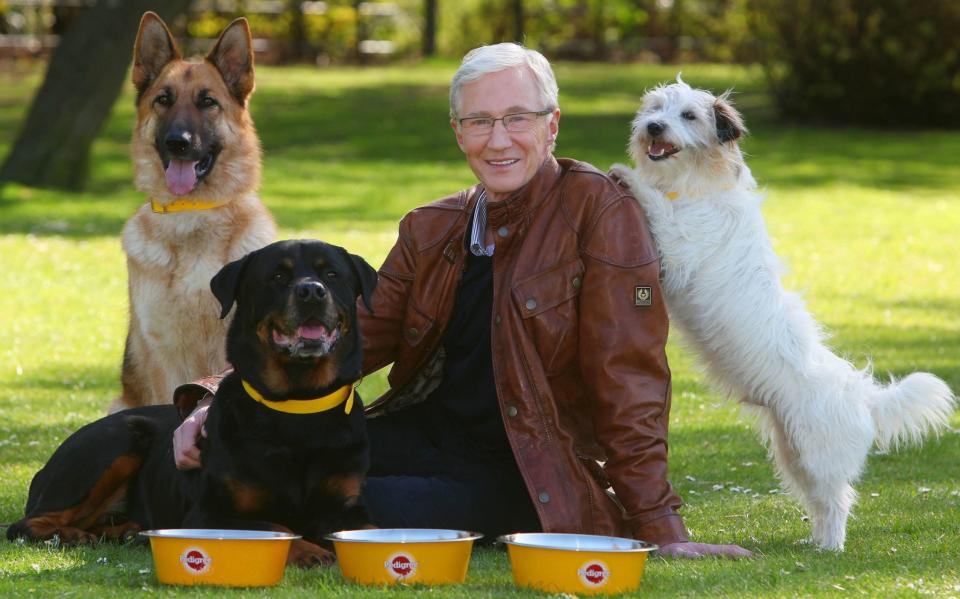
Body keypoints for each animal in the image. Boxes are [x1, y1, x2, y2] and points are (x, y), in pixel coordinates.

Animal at [11, 240, 380, 568]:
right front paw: (309, 551)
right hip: (113, 443)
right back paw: (73, 535)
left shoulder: (345, 507)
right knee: (25, 524)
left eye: (331, 274)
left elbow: (371, 529)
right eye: (277, 276)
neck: (298, 405)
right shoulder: (208, 514)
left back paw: (128, 531)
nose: (312, 291)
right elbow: (274, 526)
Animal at [612, 79, 956, 552]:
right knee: (818, 500)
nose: (653, 127)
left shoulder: (679, 250)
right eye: (656, 108)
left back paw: (831, 546)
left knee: (838, 500)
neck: (696, 185)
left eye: (689, 116)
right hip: (792, 452)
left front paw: (624, 175)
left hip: (817, 455)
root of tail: (863, 394)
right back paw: (814, 542)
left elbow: (656, 206)